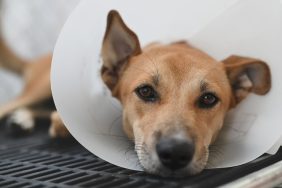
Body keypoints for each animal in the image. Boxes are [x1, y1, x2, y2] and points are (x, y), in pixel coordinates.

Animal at [0, 10, 270, 176]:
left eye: (208, 98)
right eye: (146, 91)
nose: (175, 153)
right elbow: (58, 121)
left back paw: (22, 120)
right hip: (40, 88)